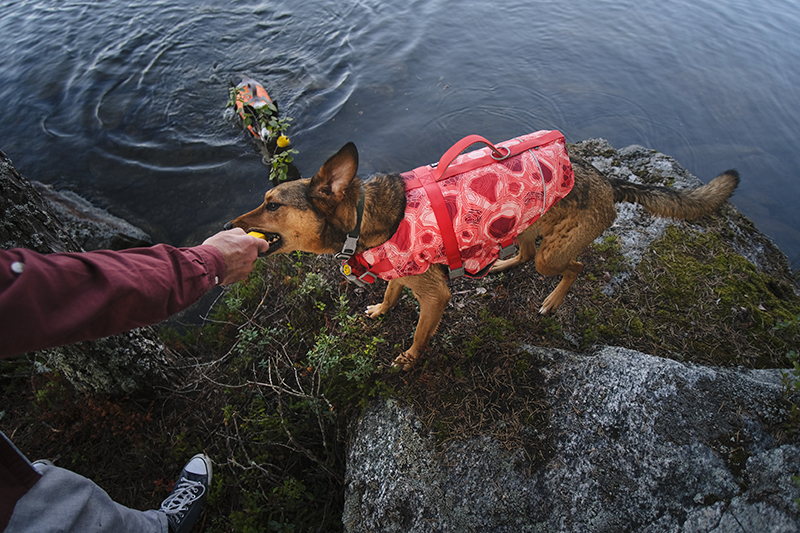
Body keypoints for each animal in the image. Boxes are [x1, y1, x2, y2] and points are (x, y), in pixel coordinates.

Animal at [225, 140, 736, 370]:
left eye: (272, 204)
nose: (230, 225)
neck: (362, 217)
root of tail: (609, 180)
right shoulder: (404, 272)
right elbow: (390, 293)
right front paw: (379, 309)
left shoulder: (434, 296)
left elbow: (420, 333)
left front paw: (409, 358)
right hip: (527, 226)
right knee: (525, 255)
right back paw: (502, 263)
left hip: (556, 253)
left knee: (574, 266)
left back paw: (552, 301)